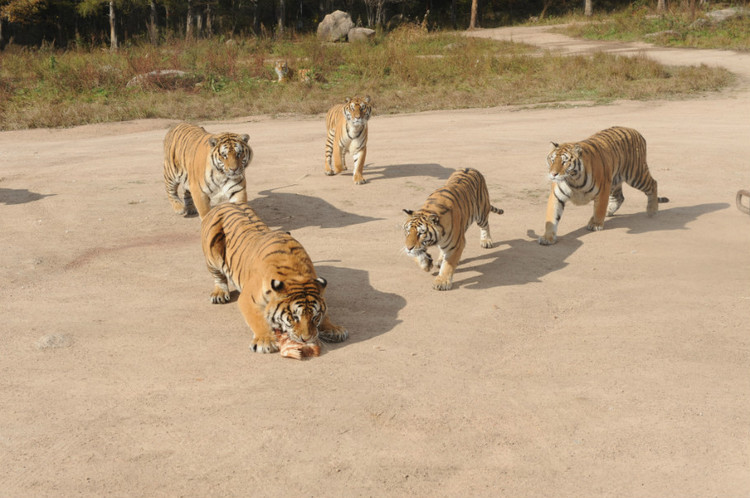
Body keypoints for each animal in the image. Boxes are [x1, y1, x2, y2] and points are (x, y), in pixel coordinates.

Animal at [201, 201, 352, 354]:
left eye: (315, 317)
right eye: (295, 317)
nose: (306, 339)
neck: (296, 275)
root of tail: (225, 204)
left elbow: (326, 313)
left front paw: (334, 329)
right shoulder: (248, 299)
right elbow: (258, 319)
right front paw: (264, 341)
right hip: (212, 256)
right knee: (218, 276)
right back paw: (219, 294)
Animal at [540, 124, 668, 245]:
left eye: (564, 161)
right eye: (552, 160)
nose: (553, 174)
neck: (574, 180)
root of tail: (635, 131)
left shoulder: (603, 189)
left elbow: (599, 208)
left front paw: (595, 224)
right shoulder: (557, 196)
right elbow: (552, 217)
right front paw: (547, 238)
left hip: (635, 175)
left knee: (653, 184)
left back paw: (652, 210)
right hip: (615, 180)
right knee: (619, 197)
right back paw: (608, 212)